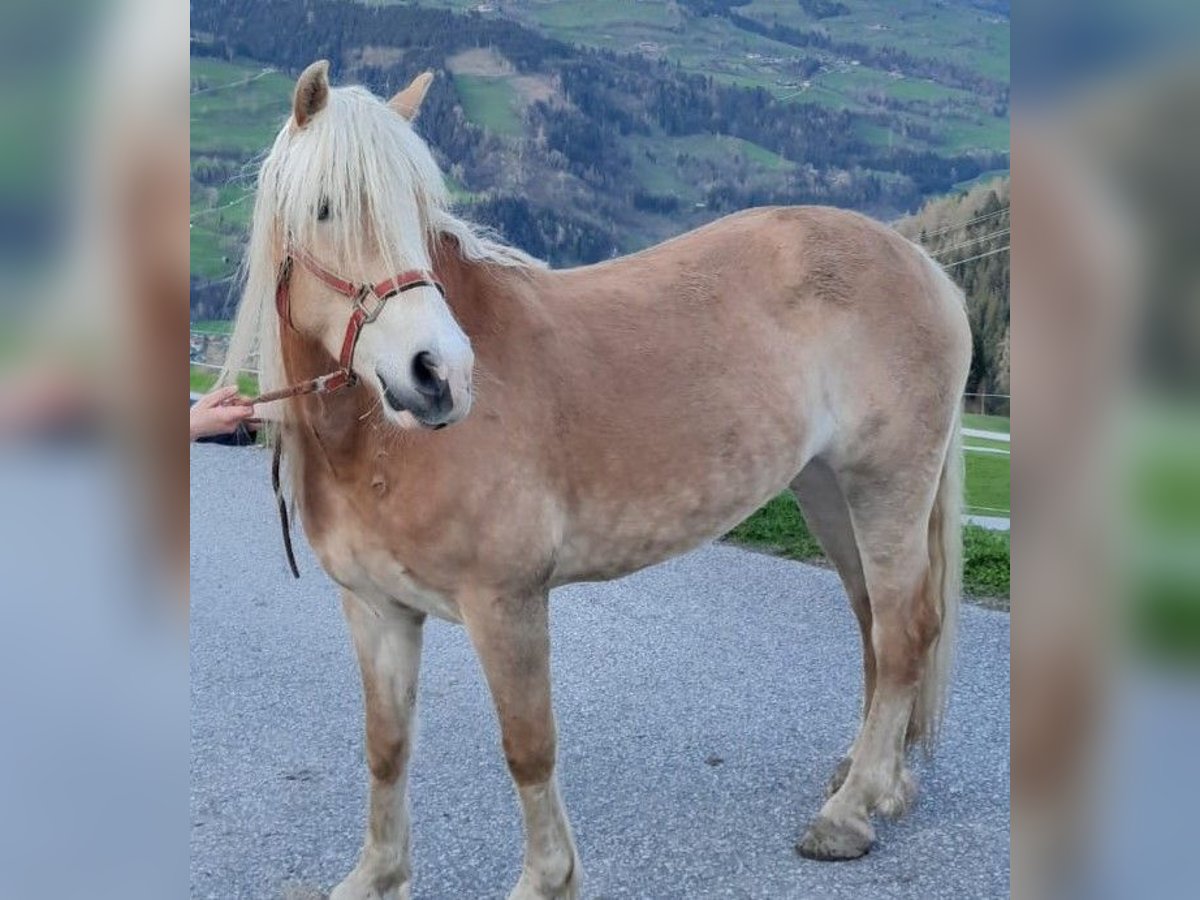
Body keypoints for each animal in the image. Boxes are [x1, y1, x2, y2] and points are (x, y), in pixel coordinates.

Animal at [223, 63, 974, 900]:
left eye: (420, 213)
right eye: (325, 208)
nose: (438, 375)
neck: (380, 448)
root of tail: (923, 264)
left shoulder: (506, 602)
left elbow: (528, 746)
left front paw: (547, 879)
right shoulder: (375, 609)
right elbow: (386, 747)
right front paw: (377, 875)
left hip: (886, 488)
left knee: (903, 631)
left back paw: (851, 813)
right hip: (828, 491)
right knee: (874, 624)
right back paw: (876, 782)